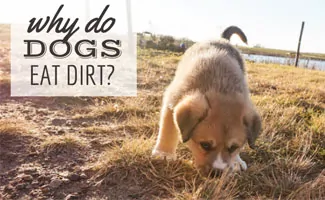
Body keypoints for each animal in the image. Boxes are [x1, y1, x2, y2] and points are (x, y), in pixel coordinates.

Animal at [151, 25, 260, 174]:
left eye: (233, 147)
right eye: (205, 145)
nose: (217, 173)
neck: (220, 87)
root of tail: (221, 39)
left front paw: (236, 160)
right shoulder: (171, 101)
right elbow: (168, 129)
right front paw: (163, 154)